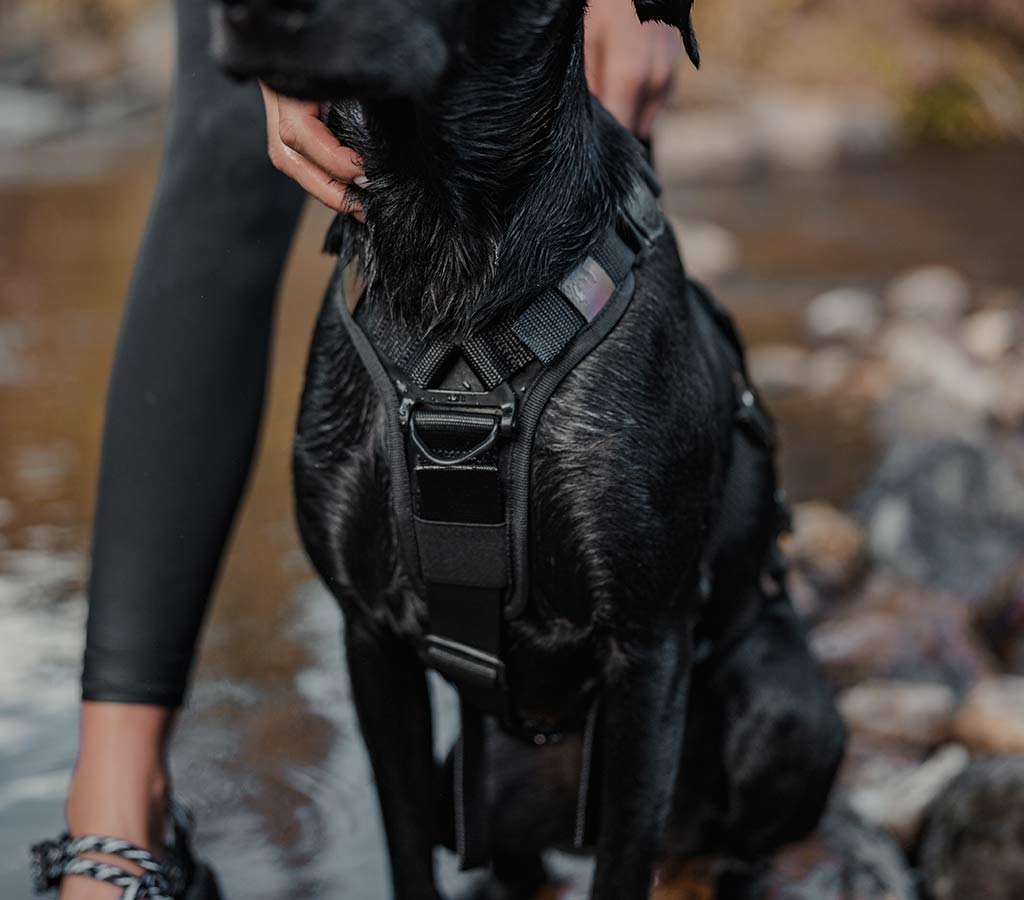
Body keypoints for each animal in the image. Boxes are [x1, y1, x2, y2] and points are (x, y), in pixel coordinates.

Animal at [209, 1, 847, 900]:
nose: (244, 19)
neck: (443, 233)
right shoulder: (369, 635)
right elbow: (407, 849)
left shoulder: (647, 647)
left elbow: (623, 863)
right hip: (466, 779)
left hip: (789, 709)